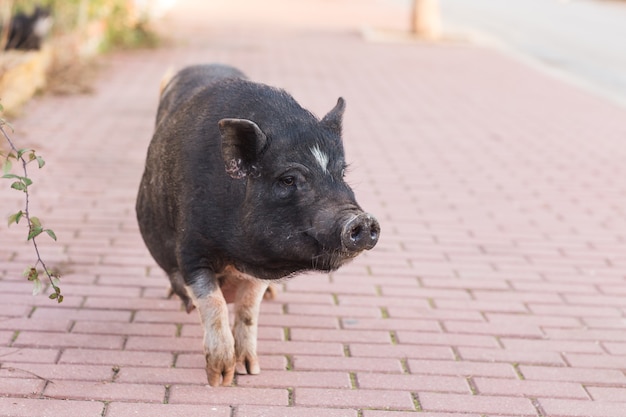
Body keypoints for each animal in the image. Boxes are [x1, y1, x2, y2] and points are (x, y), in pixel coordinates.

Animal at [136, 63, 378, 386]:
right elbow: (212, 302)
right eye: (288, 179)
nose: (363, 220)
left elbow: (249, 307)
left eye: (341, 174)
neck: (234, 255)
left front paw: (251, 370)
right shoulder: (190, 248)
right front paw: (220, 378)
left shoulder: (264, 262)